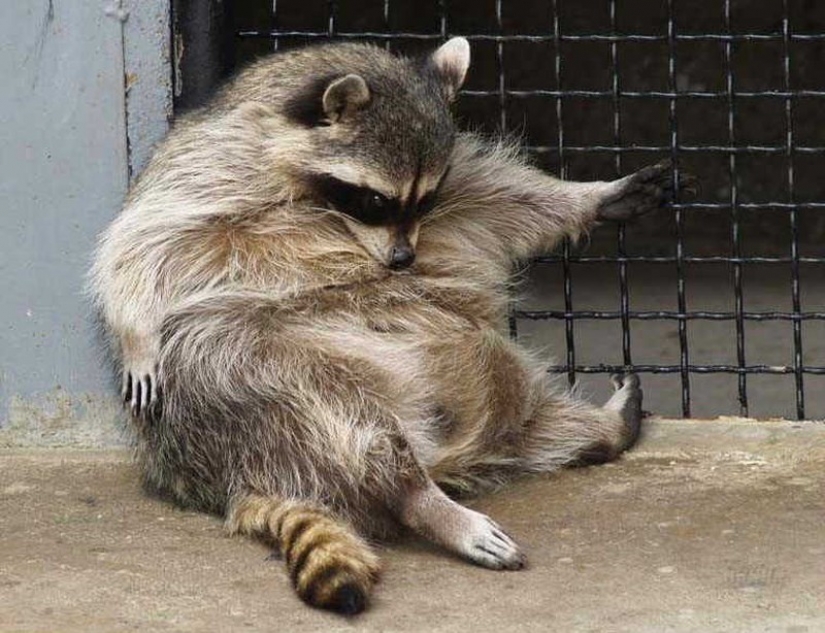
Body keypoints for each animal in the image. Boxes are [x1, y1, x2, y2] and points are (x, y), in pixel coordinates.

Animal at [90, 37, 693, 614]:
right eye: (375, 200)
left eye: (425, 198)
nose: (404, 261)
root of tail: (232, 478)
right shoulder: (211, 165)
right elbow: (142, 242)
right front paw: (135, 333)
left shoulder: (455, 194)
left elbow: (504, 198)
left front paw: (587, 196)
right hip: (245, 377)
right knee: (333, 413)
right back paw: (419, 498)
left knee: (529, 425)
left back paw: (597, 430)